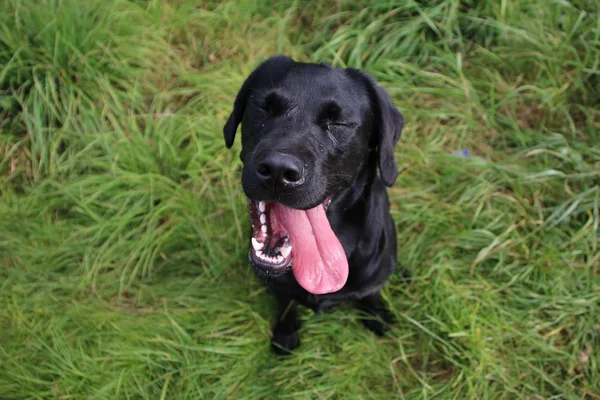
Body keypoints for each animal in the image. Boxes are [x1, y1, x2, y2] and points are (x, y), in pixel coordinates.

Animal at [223, 55, 406, 354]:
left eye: (338, 123)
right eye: (265, 107)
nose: (278, 170)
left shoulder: (373, 280)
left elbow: (372, 293)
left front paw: (377, 316)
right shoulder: (278, 288)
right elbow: (286, 304)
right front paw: (285, 334)